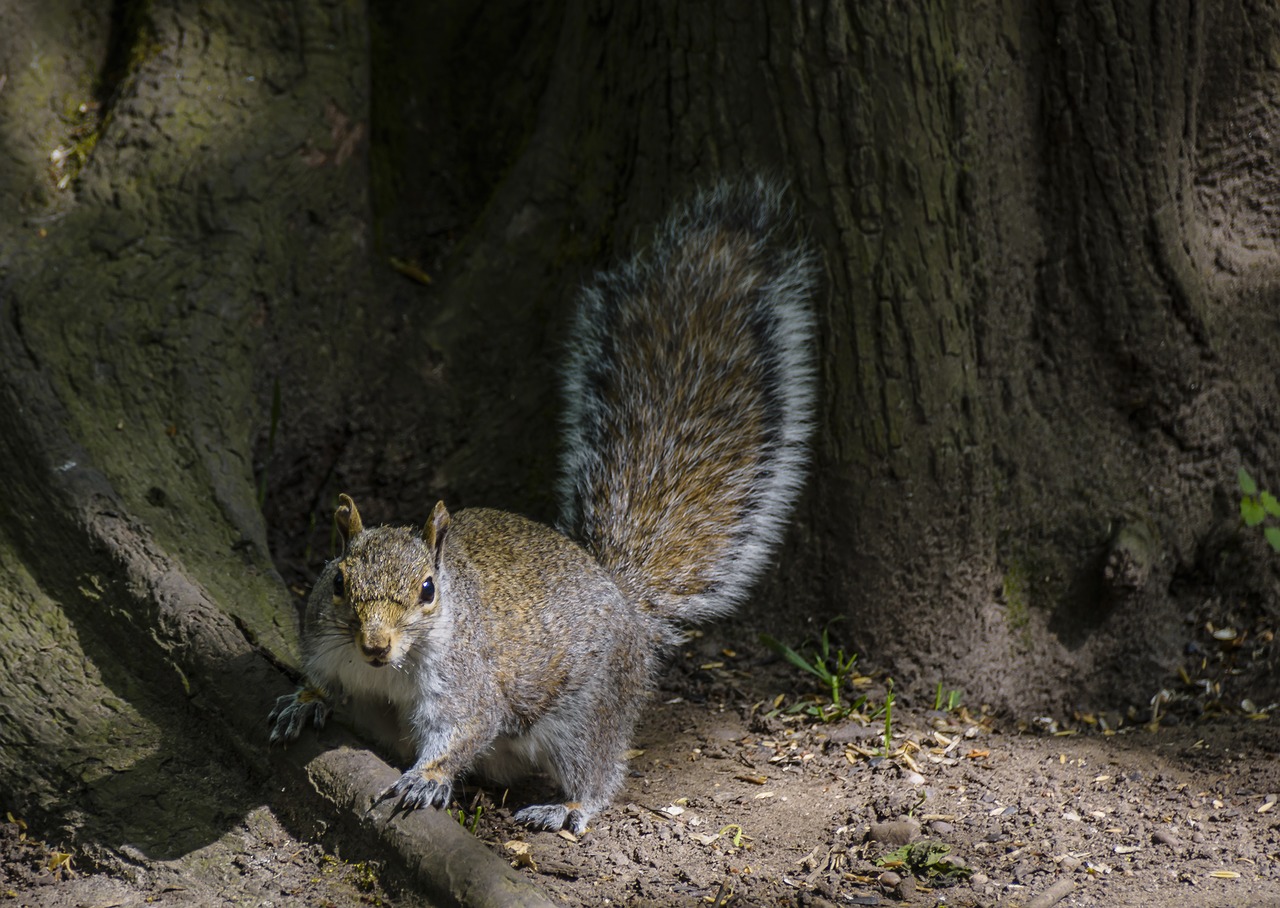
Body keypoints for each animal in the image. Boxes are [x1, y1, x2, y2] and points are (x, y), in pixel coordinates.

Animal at [270, 174, 819, 829]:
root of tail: (625, 600)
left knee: (598, 769)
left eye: (428, 589)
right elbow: (320, 682)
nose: (375, 646)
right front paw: (302, 700)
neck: (389, 672)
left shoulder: (465, 684)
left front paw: (427, 778)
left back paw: (566, 807)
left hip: (588, 711)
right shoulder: (327, 651)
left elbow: (466, 728)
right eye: (336, 581)